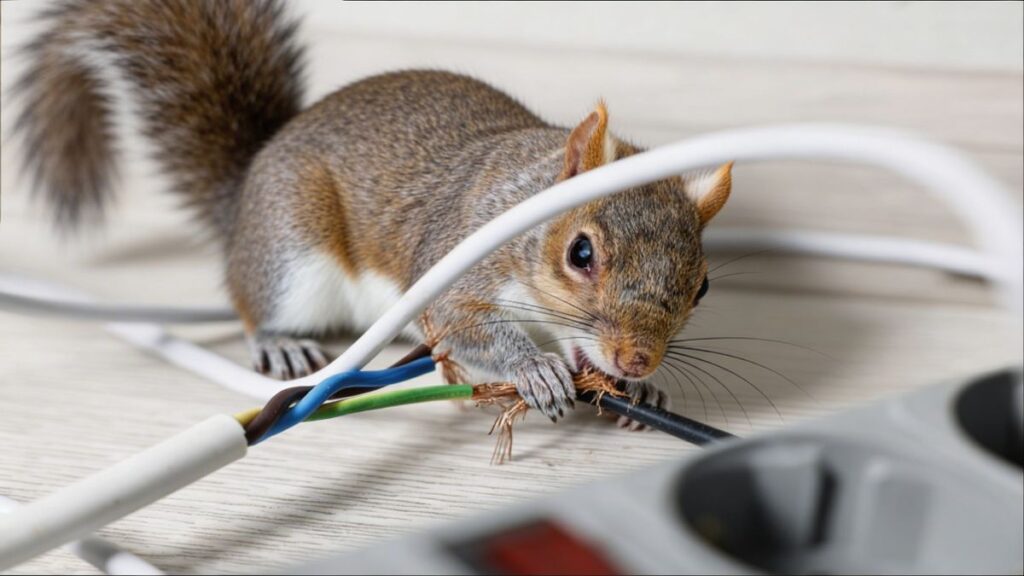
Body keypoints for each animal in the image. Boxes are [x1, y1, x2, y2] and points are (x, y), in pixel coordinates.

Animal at [12, 0, 732, 423]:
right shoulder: (455, 265)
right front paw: (534, 368)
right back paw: (281, 342)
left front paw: (642, 392)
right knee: (256, 301)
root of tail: (246, 197)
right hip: (291, 248)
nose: (637, 359)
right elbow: (465, 327)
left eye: (702, 287)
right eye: (580, 253)